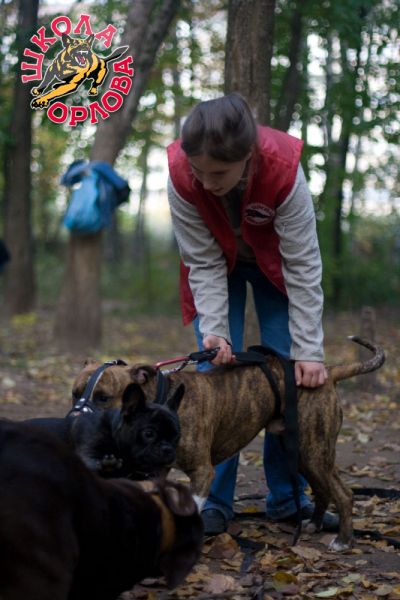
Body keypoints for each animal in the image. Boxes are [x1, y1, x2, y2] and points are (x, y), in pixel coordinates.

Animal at [72, 337, 385, 551]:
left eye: (103, 397)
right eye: (74, 393)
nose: (75, 419)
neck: (158, 404)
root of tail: (327, 372)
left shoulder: (202, 473)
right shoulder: (156, 471)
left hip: (315, 451)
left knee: (343, 493)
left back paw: (343, 541)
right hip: (300, 452)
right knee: (322, 489)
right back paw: (314, 524)